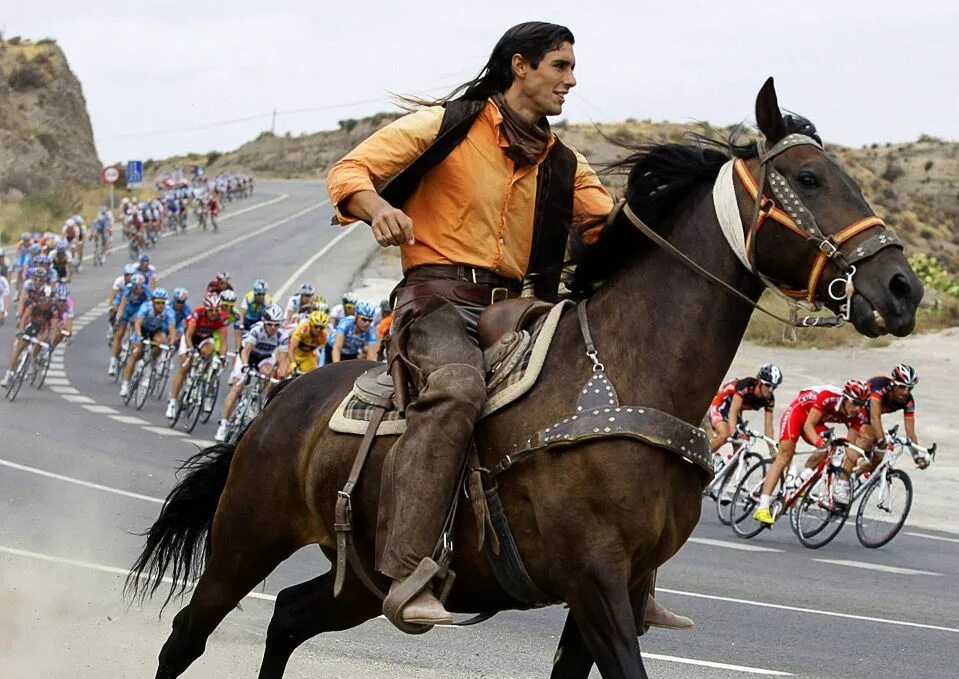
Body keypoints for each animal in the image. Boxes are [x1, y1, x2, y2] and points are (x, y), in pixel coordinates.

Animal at [127, 81, 924, 679]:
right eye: (810, 178)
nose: (903, 287)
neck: (626, 377)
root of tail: (277, 406)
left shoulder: (611, 594)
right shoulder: (596, 582)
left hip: (359, 582)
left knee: (288, 618)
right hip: (245, 539)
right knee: (186, 634)